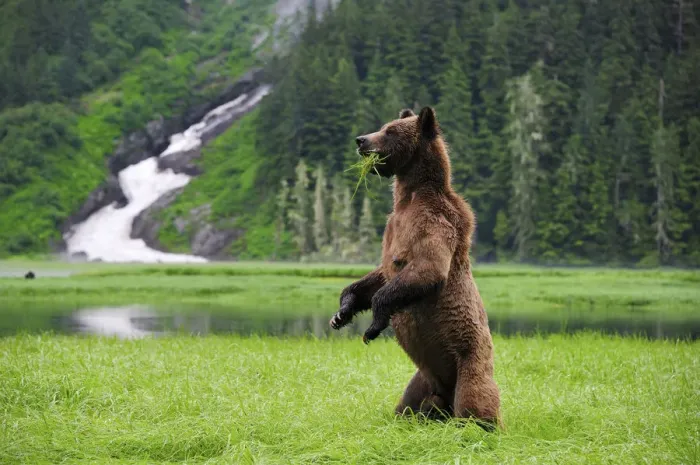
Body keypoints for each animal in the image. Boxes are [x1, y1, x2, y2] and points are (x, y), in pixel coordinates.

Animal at [329, 106, 501, 430]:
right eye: (384, 125)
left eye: (390, 131)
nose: (361, 140)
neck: (409, 196)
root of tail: (446, 393)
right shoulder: (392, 227)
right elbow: (378, 275)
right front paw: (341, 313)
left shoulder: (432, 222)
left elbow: (427, 269)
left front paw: (372, 326)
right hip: (423, 377)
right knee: (408, 402)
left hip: (470, 358)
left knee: (476, 396)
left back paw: (480, 425)